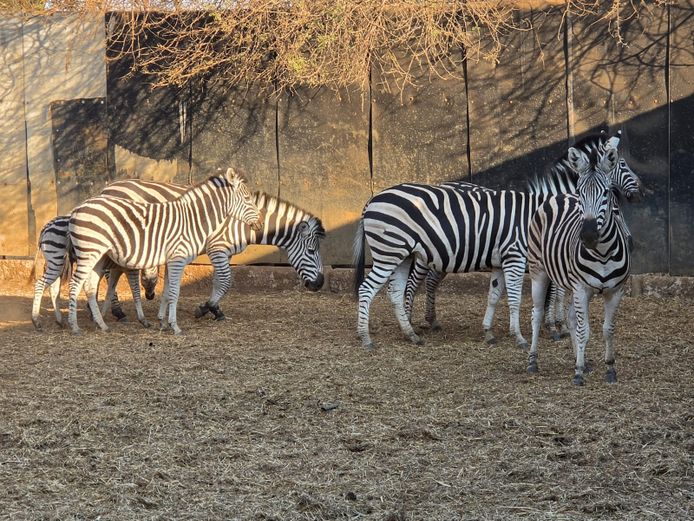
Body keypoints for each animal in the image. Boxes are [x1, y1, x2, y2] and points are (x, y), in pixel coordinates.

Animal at [30, 215, 159, 330]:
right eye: (147, 279)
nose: (150, 297)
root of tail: (46, 226)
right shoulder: (120, 268)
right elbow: (133, 290)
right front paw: (140, 319)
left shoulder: (112, 268)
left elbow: (107, 290)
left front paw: (99, 314)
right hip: (57, 260)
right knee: (41, 284)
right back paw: (37, 321)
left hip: (58, 263)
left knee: (53, 289)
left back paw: (60, 321)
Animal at [66, 168, 262, 335]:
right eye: (247, 198)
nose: (260, 224)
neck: (193, 220)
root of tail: (78, 208)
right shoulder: (178, 258)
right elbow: (175, 292)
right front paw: (175, 326)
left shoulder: (171, 261)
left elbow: (168, 292)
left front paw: (163, 322)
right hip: (89, 252)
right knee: (75, 284)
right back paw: (74, 326)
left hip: (98, 255)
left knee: (90, 286)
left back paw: (102, 324)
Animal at [402, 131, 642, 343]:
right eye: (621, 164)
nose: (639, 190)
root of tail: (443, 184)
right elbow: (555, 294)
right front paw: (555, 326)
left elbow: (556, 294)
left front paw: (555, 324)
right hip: (427, 254)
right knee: (413, 282)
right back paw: (410, 323)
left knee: (430, 281)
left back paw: (431, 320)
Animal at [527, 143, 630, 385]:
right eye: (581, 193)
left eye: (606, 193)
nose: (589, 236)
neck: (603, 253)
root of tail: (558, 195)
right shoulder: (581, 288)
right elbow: (585, 330)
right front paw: (579, 373)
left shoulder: (615, 291)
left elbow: (607, 329)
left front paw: (609, 368)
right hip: (539, 271)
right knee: (537, 313)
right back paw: (533, 361)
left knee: (572, 317)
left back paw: (579, 358)